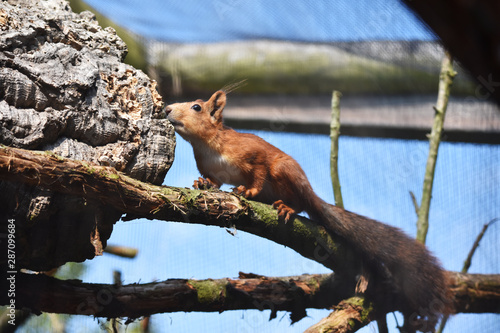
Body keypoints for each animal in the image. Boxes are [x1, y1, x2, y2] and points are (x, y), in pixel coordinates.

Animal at [166, 89, 452, 330]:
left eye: (196, 107)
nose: (167, 109)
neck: (208, 145)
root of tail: (311, 192)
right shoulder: (211, 169)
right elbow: (213, 181)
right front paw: (201, 183)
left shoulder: (254, 155)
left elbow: (258, 174)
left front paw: (249, 191)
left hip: (285, 172)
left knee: (301, 203)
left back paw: (287, 207)